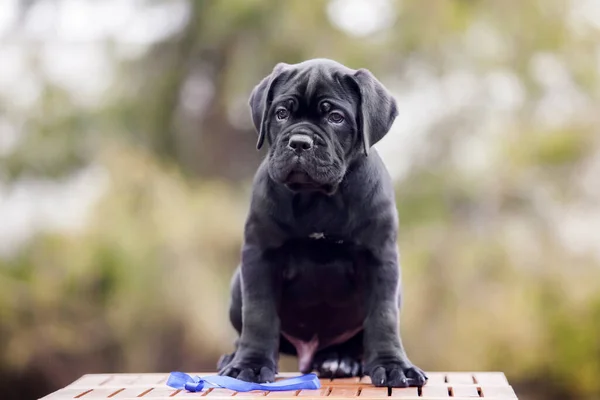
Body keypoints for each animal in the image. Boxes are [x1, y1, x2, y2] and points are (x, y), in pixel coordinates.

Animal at [218, 58, 428, 388]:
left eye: (335, 117)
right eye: (281, 113)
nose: (299, 142)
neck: (317, 197)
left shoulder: (380, 258)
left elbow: (383, 317)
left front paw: (394, 366)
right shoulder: (260, 255)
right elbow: (259, 313)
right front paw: (249, 365)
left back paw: (341, 362)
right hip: (237, 284)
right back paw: (233, 357)